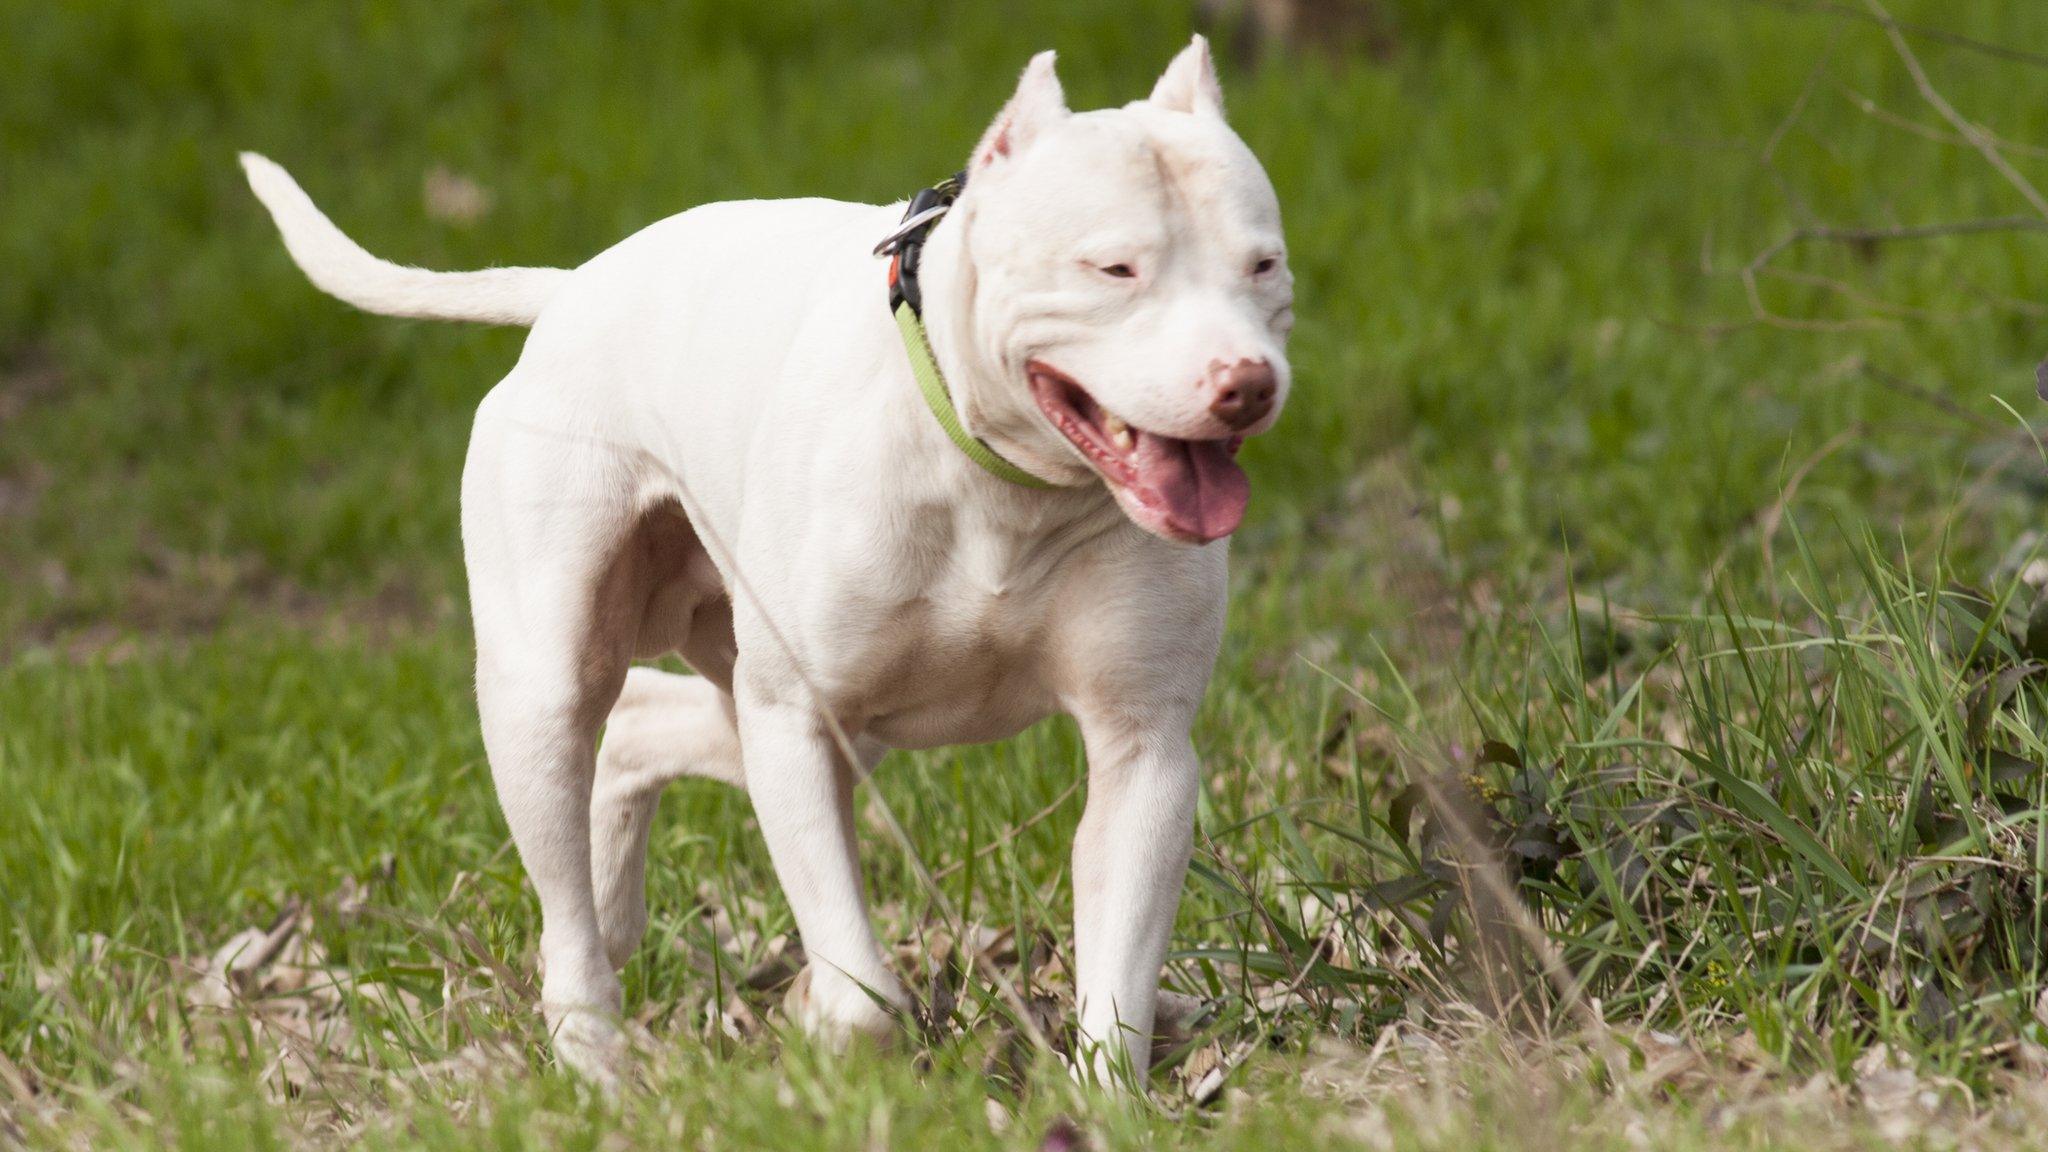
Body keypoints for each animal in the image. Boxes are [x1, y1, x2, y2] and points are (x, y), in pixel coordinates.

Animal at [239, 33, 1286, 1074]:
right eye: (1115, 269)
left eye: (1265, 266)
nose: (1248, 382)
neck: (998, 483)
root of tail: (572, 289)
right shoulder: (795, 719)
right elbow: (862, 991)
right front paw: (832, 1023)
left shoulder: (1144, 750)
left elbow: (1117, 986)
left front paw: (1104, 1092)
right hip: (550, 681)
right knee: (569, 821)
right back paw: (592, 1048)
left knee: (639, 729)